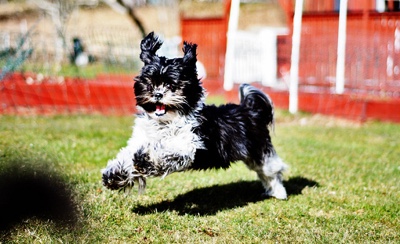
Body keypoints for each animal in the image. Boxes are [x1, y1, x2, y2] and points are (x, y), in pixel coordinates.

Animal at [101, 32, 288, 199]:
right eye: (149, 83)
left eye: (172, 85)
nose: (158, 94)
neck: (166, 122)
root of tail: (250, 109)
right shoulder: (139, 141)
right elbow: (126, 157)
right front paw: (115, 175)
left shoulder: (188, 146)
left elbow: (164, 153)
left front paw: (146, 159)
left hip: (260, 151)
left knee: (272, 171)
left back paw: (279, 193)